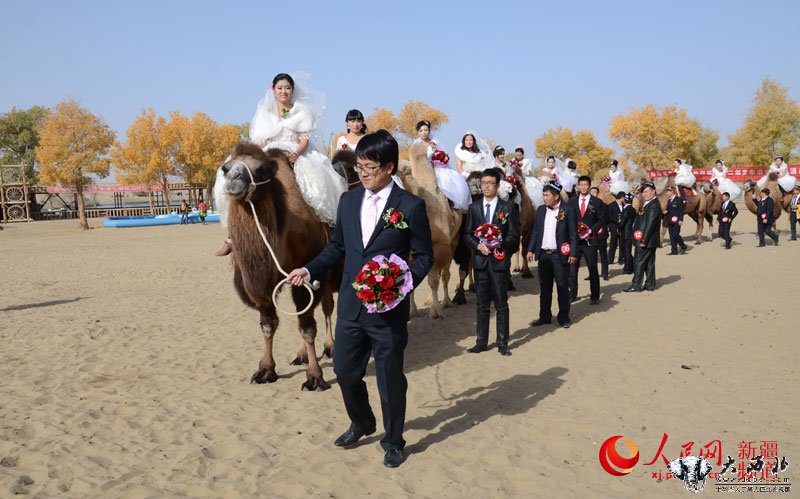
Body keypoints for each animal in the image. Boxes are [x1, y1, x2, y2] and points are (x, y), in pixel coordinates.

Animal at [220, 143, 339, 390]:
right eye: (225, 168)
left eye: (262, 169)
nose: (234, 179)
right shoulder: (259, 286)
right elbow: (268, 325)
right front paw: (266, 370)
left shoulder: (308, 276)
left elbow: (307, 327)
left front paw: (315, 377)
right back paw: (301, 355)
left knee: (326, 308)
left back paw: (330, 347)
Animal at [402, 142, 462, 319]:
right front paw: (412, 311)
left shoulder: (439, 246)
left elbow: (434, 280)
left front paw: (435, 312)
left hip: (453, 242)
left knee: (445, 274)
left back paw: (447, 302)